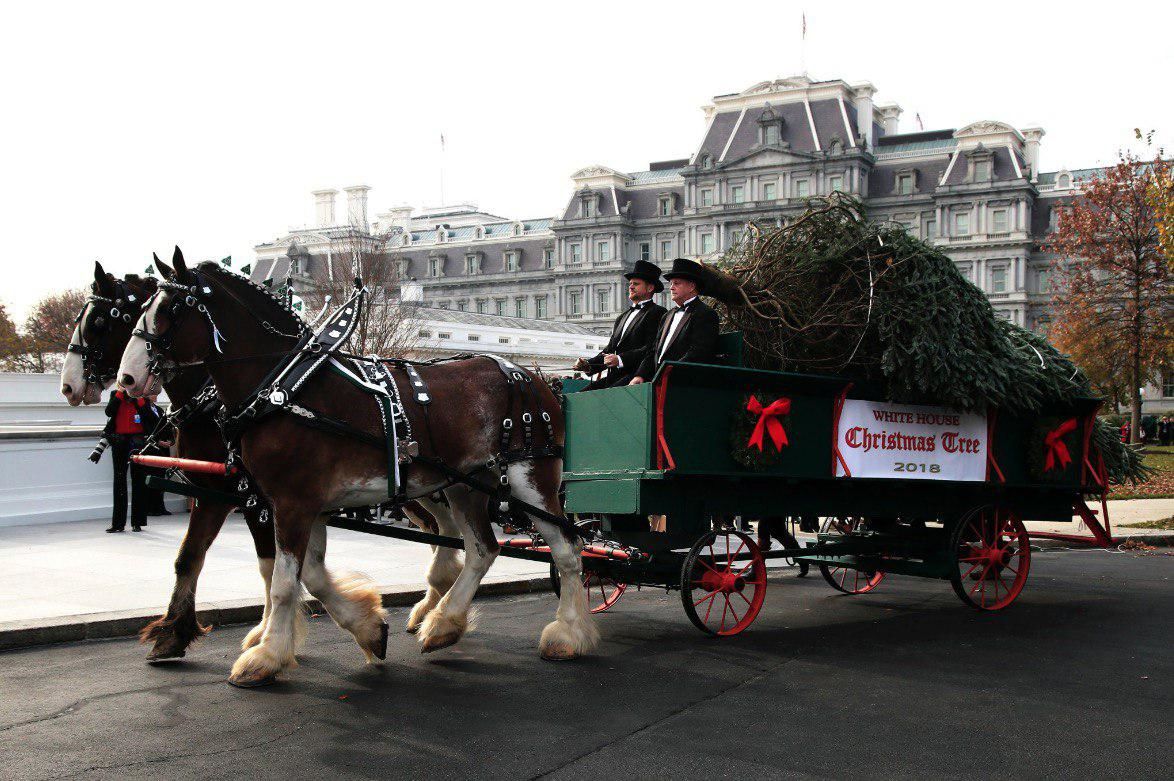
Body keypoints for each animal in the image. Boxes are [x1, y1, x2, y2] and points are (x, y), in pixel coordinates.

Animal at [116, 252, 596, 685]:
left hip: (530, 481)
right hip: (466, 484)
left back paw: (567, 633)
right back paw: (443, 624)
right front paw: (367, 629)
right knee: (483, 550)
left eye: (169, 311)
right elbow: (308, 575)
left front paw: (266, 655)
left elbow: (285, 582)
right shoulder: (301, 504)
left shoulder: (290, 502)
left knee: (567, 548)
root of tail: (533, 377)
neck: (283, 388)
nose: (127, 379)